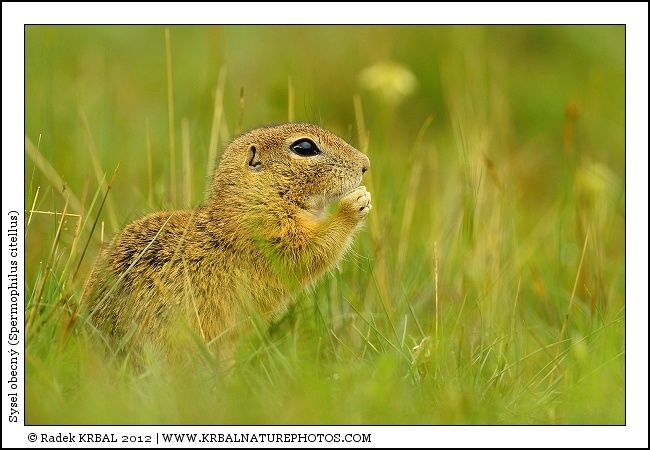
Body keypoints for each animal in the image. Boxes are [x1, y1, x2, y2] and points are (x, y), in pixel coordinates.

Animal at [83, 122, 371, 358]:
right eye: (304, 147)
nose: (366, 164)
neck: (251, 202)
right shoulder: (272, 235)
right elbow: (311, 251)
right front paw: (354, 203)